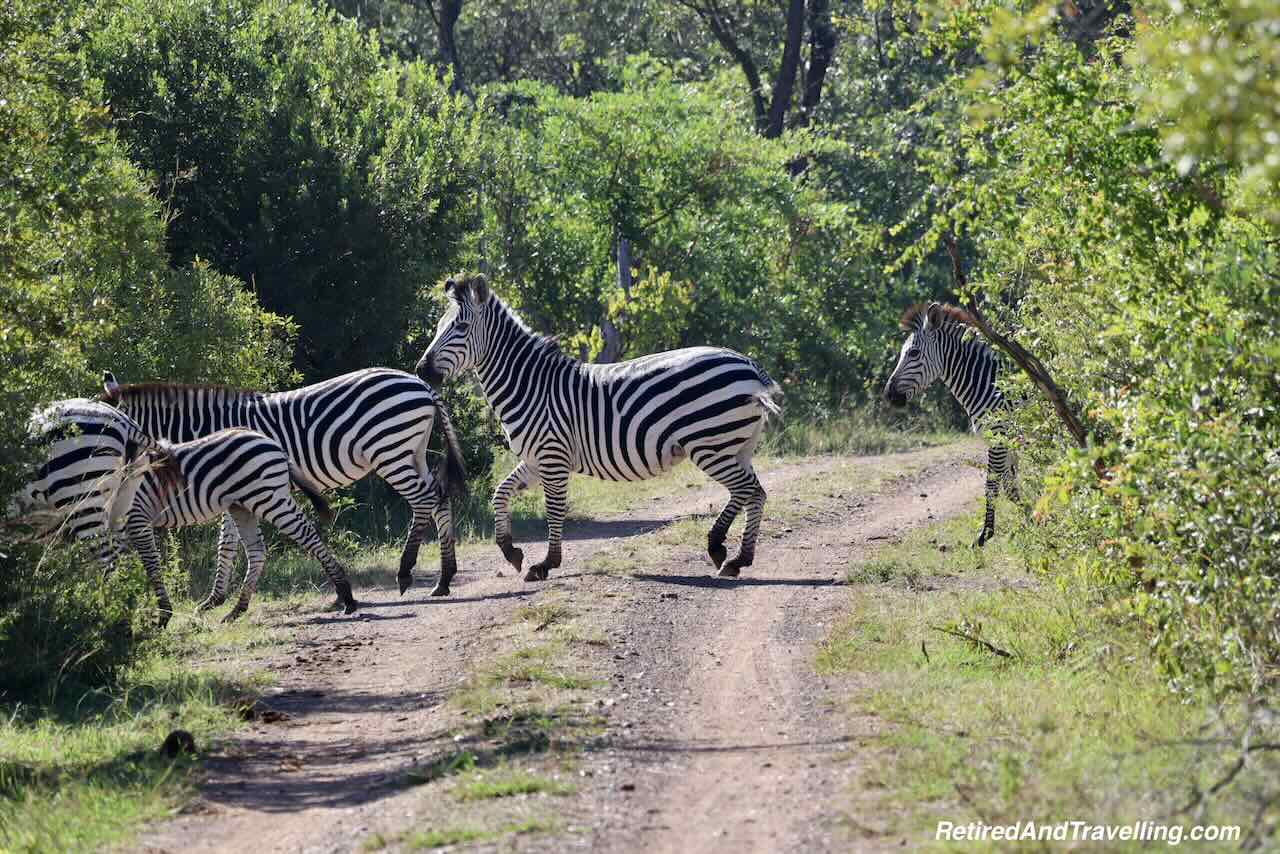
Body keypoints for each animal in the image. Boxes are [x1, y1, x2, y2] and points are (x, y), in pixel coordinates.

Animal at [102, 366, 468, 601]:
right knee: (439, 498)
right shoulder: (232, 489)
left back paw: (406, 572)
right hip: (412, 451)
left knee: (423, 500)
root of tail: (421, 384)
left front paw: (216, 599)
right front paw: (214, 600)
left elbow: (226, 542)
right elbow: (228, 544)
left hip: (390, 451)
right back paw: (444, 579)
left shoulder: (230, 482)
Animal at [108, 430, 358, 624]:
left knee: (308, 535)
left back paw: (346, 596)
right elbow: (115, 567)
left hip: (269, 498)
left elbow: (150, 565)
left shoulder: (137, 517)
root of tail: (273, 444)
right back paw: (236, 610)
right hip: (241, 505)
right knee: (257, 550)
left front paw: (161, 615)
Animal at [414, 273, 783, 581]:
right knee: (751, 492)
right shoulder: (535, 459)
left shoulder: (552, 456)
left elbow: (554, 510)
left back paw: (729, 554)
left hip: (710, 445)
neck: (530, 384)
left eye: (461, 327)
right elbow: (500, 493)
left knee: (749, 491)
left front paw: (546, 564)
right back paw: (729, 553)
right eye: (439, 325)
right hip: (735, 446)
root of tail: (749, 365)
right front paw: (510, 551)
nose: (421, 371)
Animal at [880, 302, 1018, 547]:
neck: (988, 383)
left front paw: (984, 536)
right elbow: (1010, 486)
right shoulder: (1005, 442)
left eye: (913, 353)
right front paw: (1032, 517)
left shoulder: (998, 437)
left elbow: (992, 486)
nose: (888, 395)